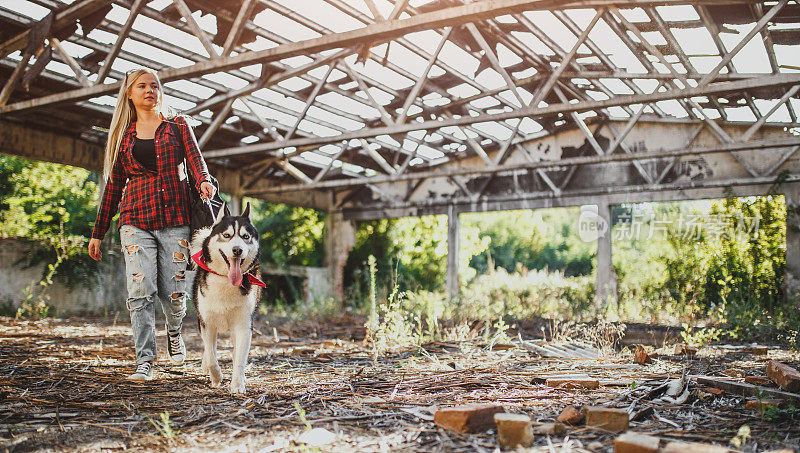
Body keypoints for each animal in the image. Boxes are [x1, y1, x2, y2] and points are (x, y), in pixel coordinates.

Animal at [189, 203, 264, 394]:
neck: (225, 281)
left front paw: (237, 384)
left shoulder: (244, 326)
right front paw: (216, 377)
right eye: (227, 235)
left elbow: (239, 359)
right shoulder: (207, 323)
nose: (237, 250)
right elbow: (211, 356)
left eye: (245, 237)